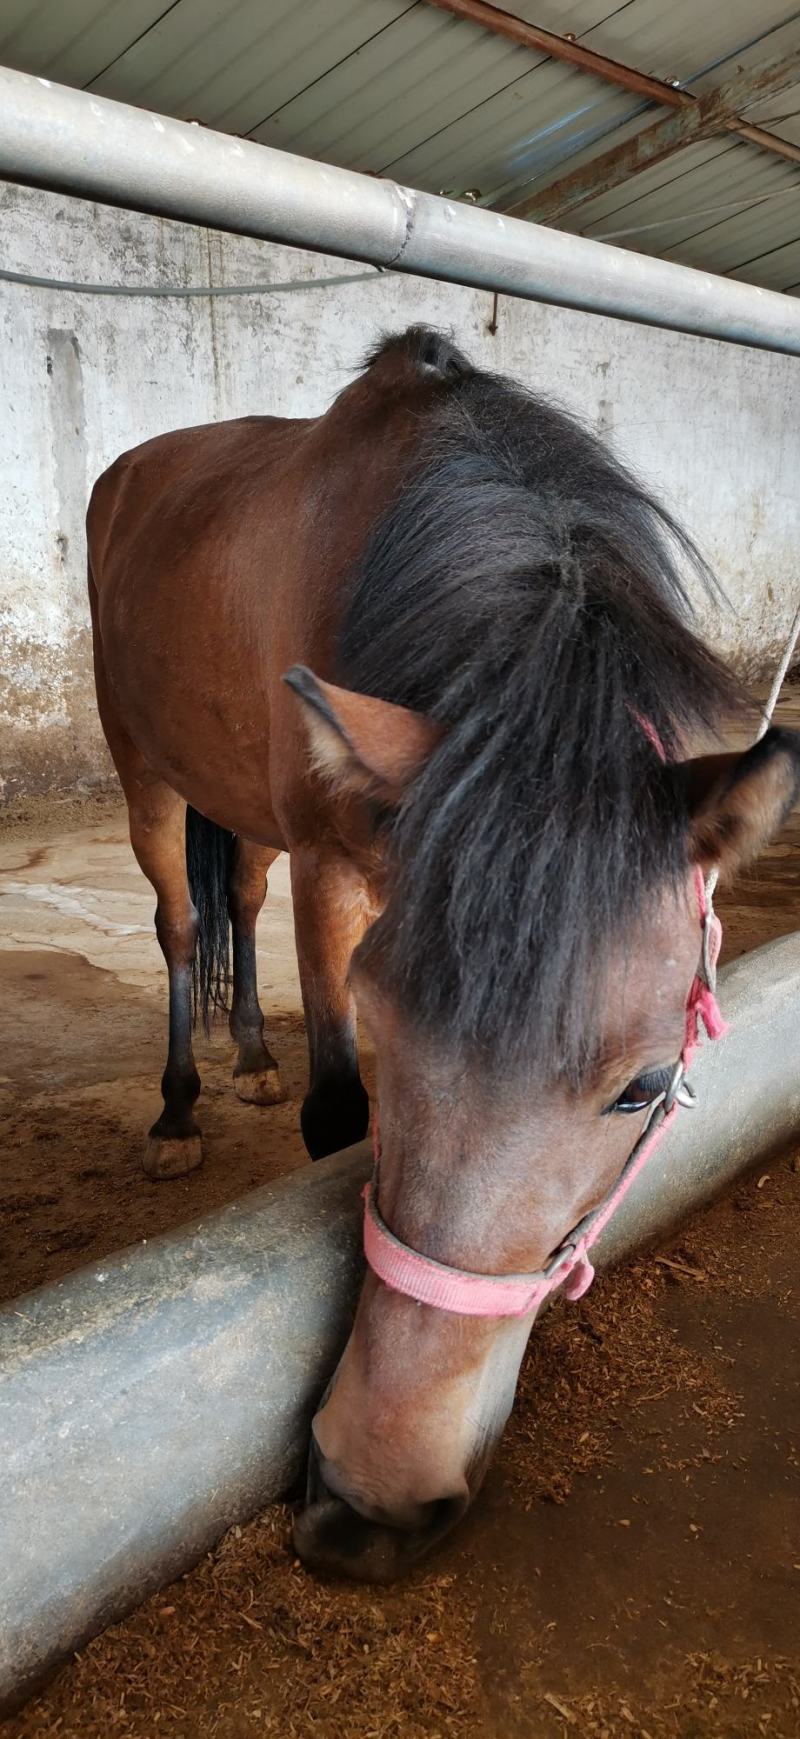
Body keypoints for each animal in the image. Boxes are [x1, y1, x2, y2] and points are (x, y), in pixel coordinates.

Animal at [87, 325, 800, 1581]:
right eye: (383, 1020)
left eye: (646, 1087)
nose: (369, 1500)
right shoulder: (332, 872)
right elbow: (335, 1115)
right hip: (146, 769)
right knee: (179, 925)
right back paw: (177, 1109)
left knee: (238, 901)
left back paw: (251, 1053)